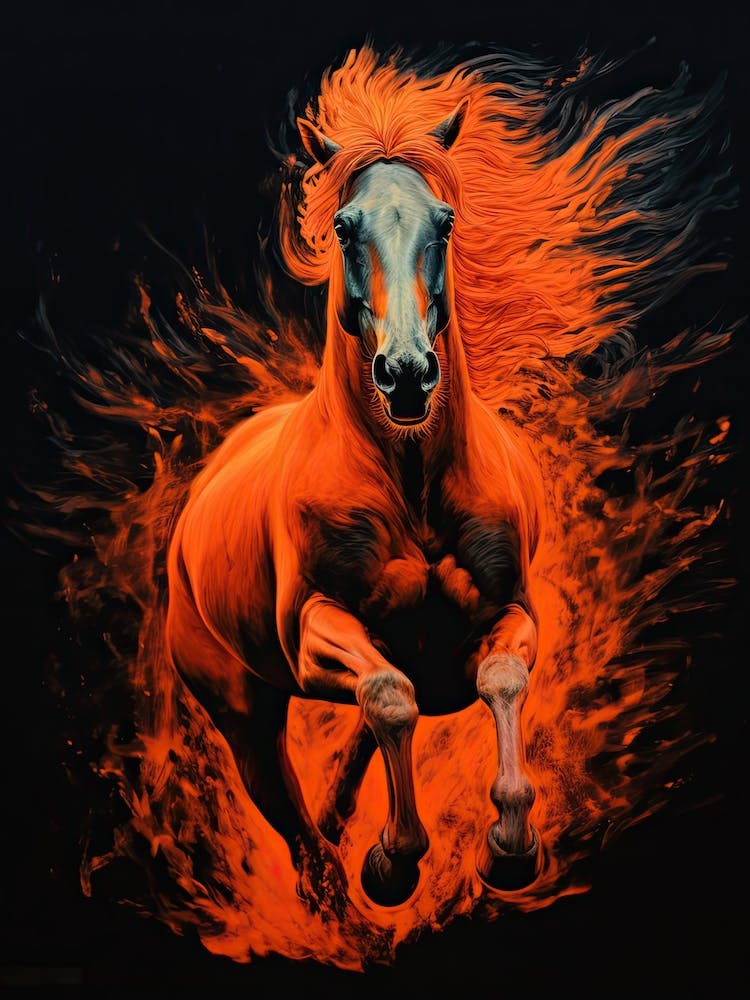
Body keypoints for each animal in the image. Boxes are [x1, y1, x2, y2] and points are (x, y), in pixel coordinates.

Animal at [164, 87, 545, 910]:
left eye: (445, 221)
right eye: (345, 225)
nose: (406, 374)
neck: (411, 483)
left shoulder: (509, 615)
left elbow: (498, 679)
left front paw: (511, 846)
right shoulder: (313, 630)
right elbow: (387, 694)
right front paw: (394, 862)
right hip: (244, 716)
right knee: (303, 836)